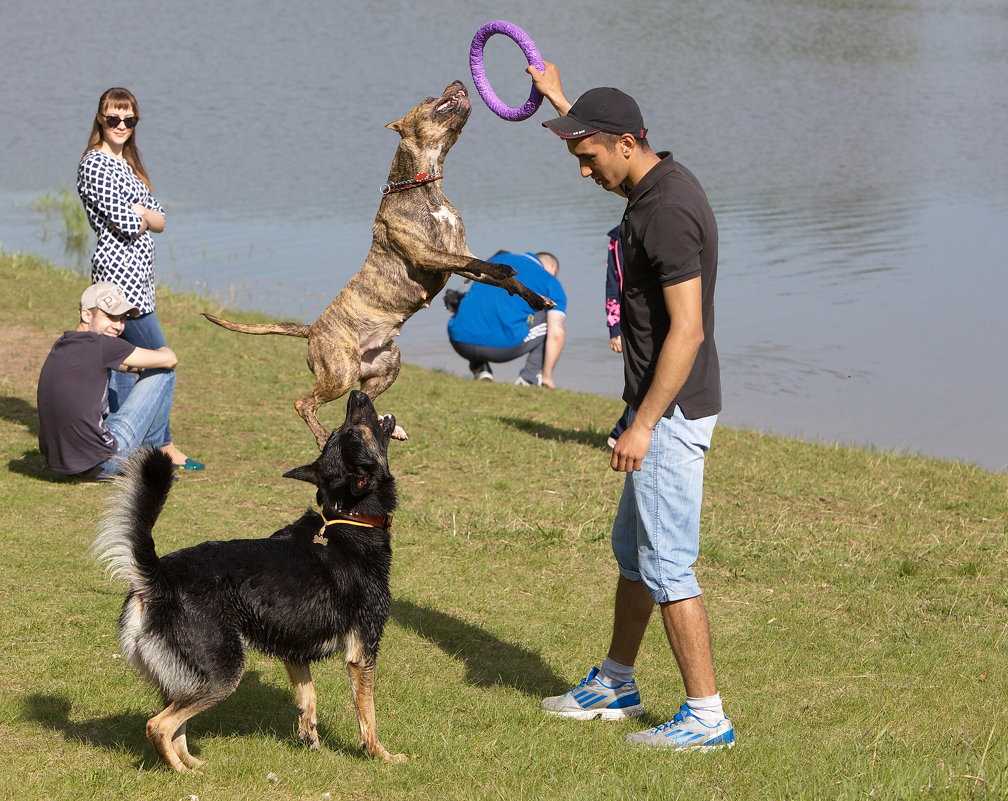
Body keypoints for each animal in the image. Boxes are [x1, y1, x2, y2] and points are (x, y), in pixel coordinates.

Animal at [202, 81, 552, 451]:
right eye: (428, 98)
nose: (458, 82)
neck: (424, 185)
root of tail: (312, 330)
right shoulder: (429, 254)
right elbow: (482, 263)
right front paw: (506, 269)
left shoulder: (455, 254)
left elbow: (500, 278)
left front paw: (537, 298)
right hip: (339, 372)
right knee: (305, 403)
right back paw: (323, 437)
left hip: (385, 365)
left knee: (361, 400)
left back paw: (388, 428)